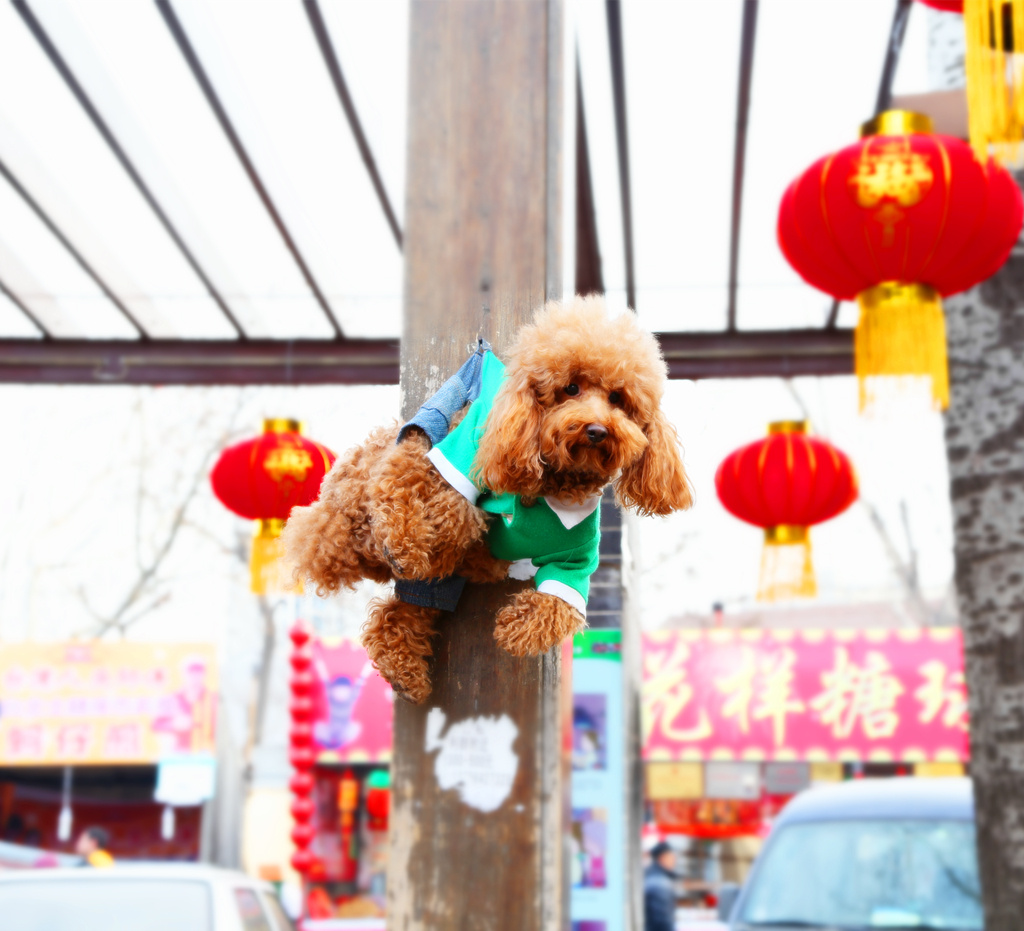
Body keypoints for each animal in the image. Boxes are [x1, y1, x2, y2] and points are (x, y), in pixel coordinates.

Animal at [284, 294, 692, 700]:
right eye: (571, 388)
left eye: (617, 398)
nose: (596, 430)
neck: (558, 483)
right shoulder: (468, 459)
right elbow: (459, 511)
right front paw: (439, 540)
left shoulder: (576, 556)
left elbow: (559, 604)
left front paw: (514, 629)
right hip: (427, 440)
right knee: (396, 480)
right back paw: (404, 546)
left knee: (399, 611)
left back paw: (405, 671)